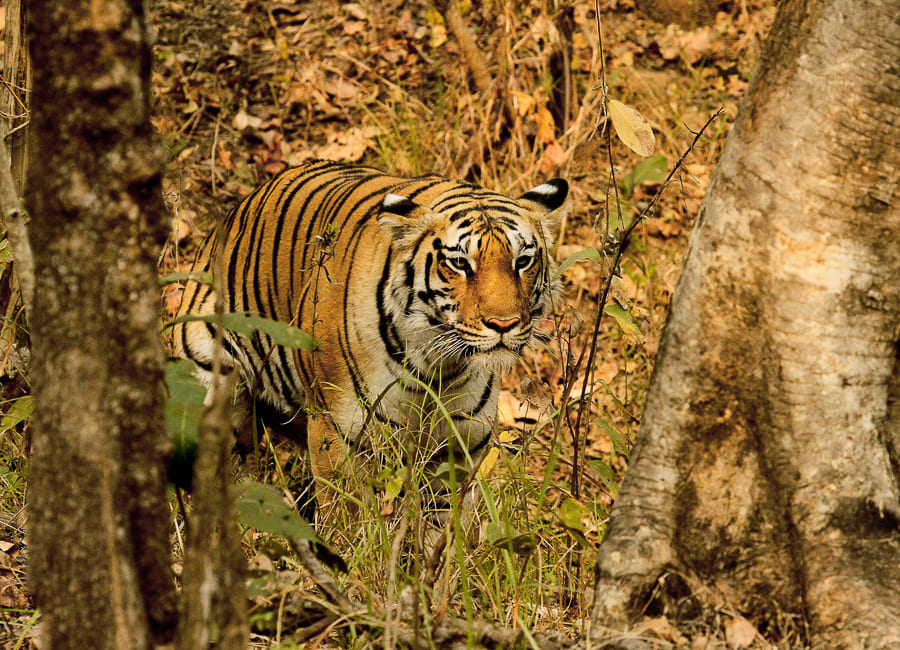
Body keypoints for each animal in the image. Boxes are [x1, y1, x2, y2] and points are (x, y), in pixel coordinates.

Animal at [174, 159, 568, 523]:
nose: (504, 324)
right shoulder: (336, 431)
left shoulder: (460, 446)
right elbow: (347, 517)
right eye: (459, 263)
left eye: (523, 260)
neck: (438, 366)